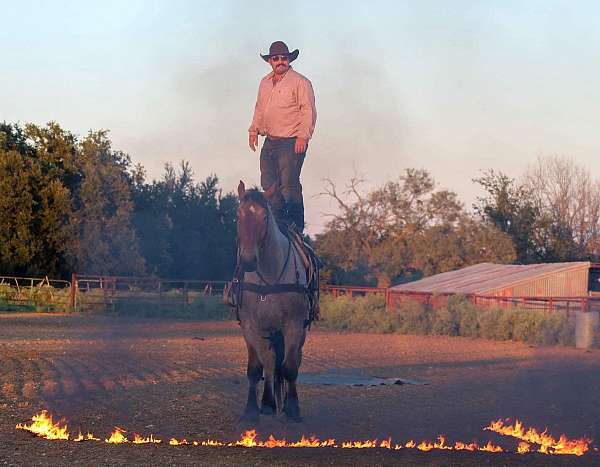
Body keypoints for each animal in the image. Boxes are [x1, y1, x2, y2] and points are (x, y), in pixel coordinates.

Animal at [234, 182, 310, 424]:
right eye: (238, 215)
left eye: (264, 217)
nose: (248, 260)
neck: (270, 272)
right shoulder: (250, 326)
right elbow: (256, 367)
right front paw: (252, 409)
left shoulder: (294, 326)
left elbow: (290, 367)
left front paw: (292, 408)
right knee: (269, 361)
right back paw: (268, 403)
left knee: (290, 361)